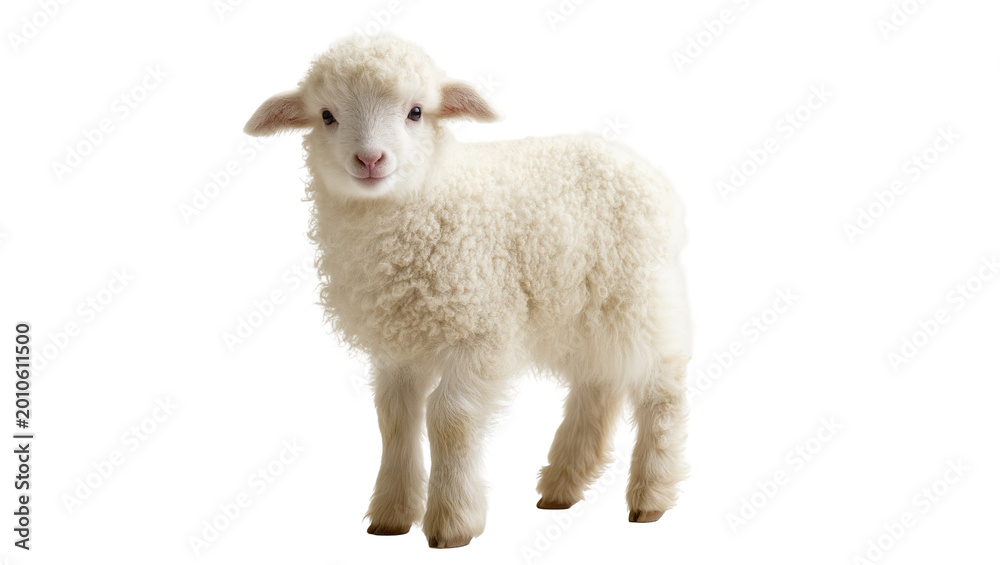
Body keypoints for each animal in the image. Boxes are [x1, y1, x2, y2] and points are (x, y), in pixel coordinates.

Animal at [244, 34, 692, 549]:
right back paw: (562, 485)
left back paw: (651, 494)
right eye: (326, 115)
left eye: (417, 112)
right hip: (578, 310)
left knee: (662, 388)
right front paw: (391, 514)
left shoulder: (480, 330)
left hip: (640, 296)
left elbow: (450, 418)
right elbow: (394, 418)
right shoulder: (399, 343)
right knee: (598, 384)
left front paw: (453, 521)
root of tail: (636, 164)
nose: (371, 160)